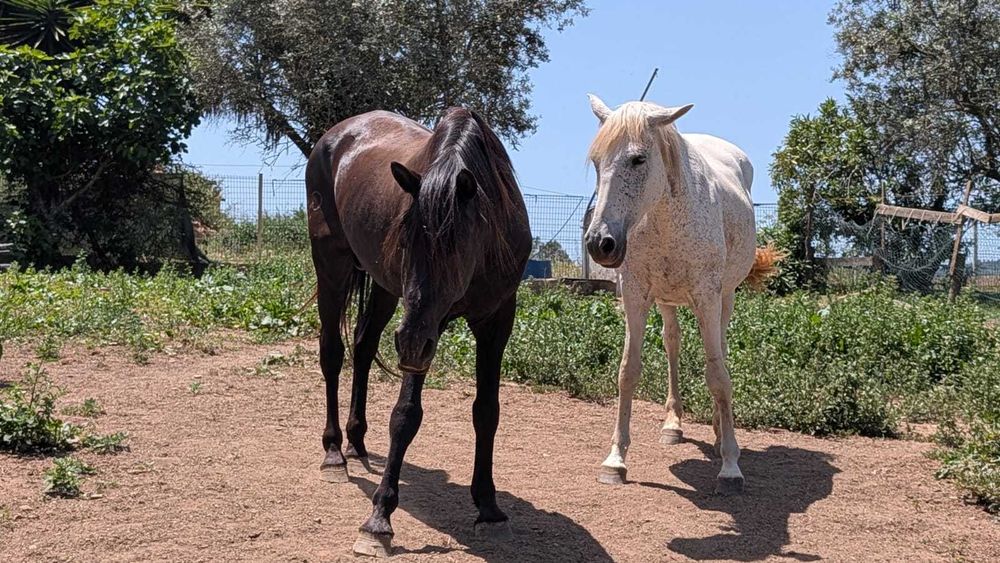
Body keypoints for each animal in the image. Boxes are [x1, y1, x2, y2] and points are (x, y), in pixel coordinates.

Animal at [305, 107, 531, 557]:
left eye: (455, 245)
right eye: (406, 242)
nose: (408, 345)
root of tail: (336, 135)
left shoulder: (497, 320)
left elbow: (487, 412)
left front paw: (489, 508)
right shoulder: (427, 328)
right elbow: (406, 415)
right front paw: (379, 519)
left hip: (386, 290)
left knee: (363, 347)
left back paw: (357, 441)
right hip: (333, 267)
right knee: (332, 354)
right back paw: (335, 452)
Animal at [583, 94, 778, 495]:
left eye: (638, 159)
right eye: (597, 161)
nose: (600, 243)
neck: (665, 219)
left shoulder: (707, 296)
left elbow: (717, 375)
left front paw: (730, 466)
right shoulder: (636, 295)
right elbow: (628, 371)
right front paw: (616, 460)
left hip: (724, 298)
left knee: (719, 350)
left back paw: (719, 435)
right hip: (667, 301)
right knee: (672, 342)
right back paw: (673, 424)